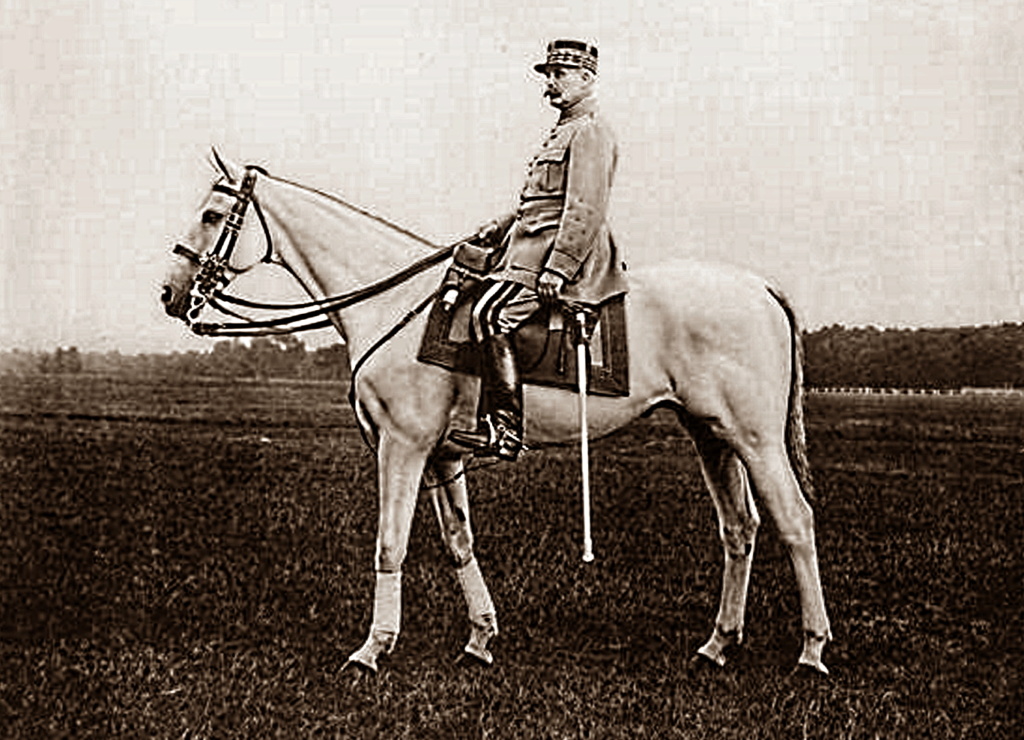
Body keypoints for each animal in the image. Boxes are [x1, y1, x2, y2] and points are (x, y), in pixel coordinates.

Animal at [159, 157, 831, 675]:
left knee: (795, 521)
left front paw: (372, 650)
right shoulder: (441, 455)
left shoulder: (402, 446)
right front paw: (480, 637)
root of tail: (762, 287)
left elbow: (389, 544)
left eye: (213, 215)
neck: (396, 306)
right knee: (739, 528)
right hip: (710, 434)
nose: (169, 294)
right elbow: (459, 543)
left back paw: (812, 650)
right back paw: (717, 645)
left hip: (755, 438)